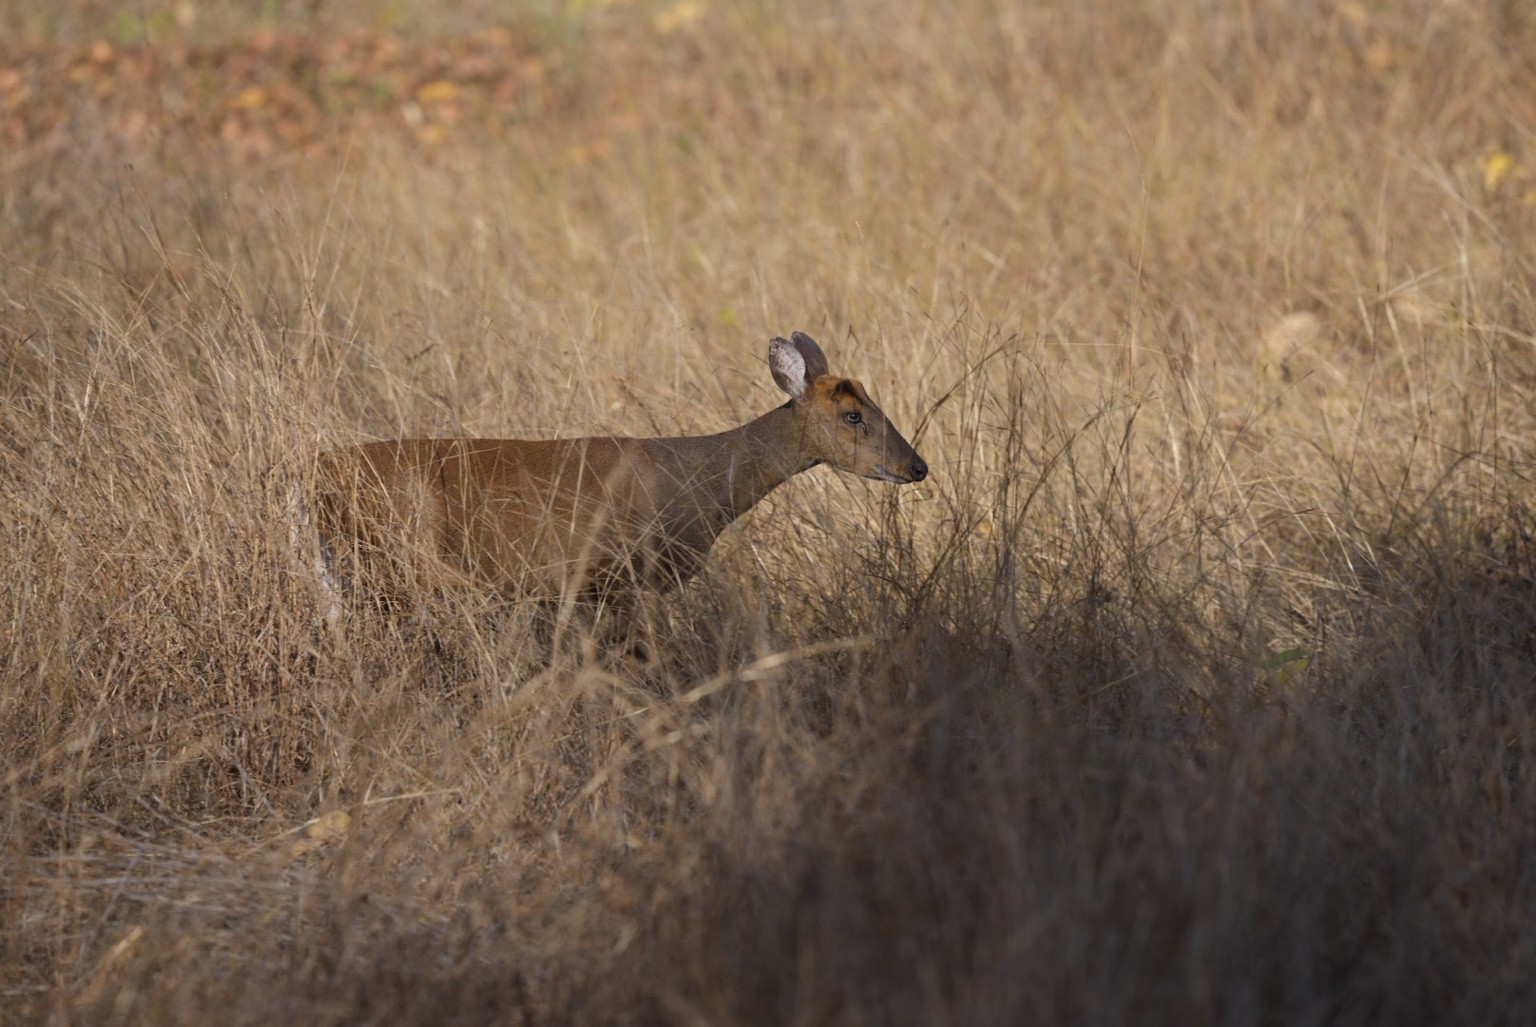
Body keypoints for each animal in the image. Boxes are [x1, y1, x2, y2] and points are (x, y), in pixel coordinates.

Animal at [311, 332, 927, 645]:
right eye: (852, 414)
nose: (917, 465)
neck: (700, 480)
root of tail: (317, 471)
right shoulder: (618, 575)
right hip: (399, 561)